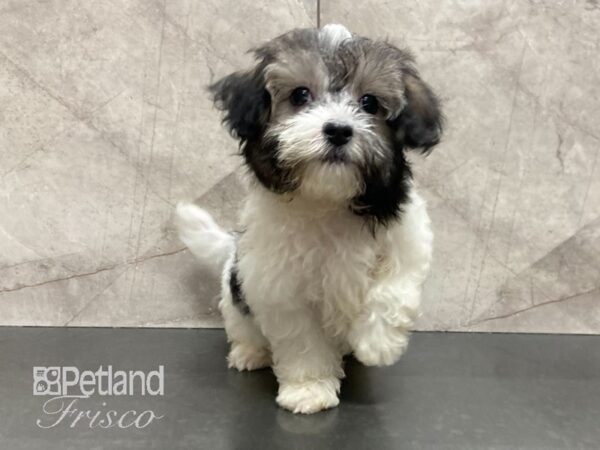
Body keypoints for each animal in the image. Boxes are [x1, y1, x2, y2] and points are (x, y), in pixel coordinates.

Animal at [176, 23, 442, 412]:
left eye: (369, 103)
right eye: (301, 95)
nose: (339, 130)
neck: (327, 198)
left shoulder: (408, 234)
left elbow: (395, 286)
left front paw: (377, 344)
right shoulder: (281, 285)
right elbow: (303, 341)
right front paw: (309, 389)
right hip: (237, 299)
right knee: (244, 328)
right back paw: (249, 353)